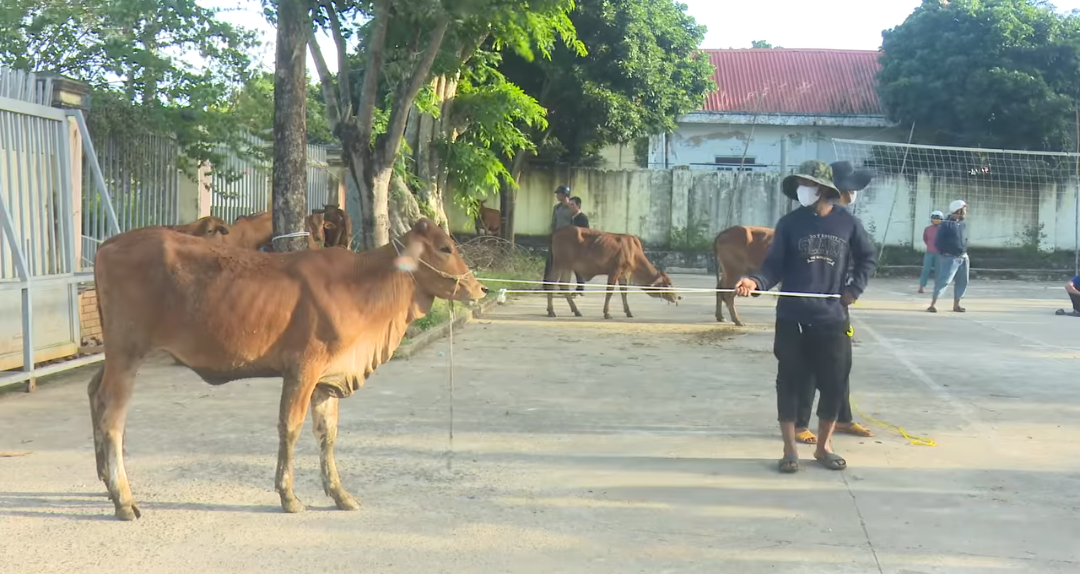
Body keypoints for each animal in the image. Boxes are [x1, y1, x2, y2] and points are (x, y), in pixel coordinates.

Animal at [86, 217, 488, 521]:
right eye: (445, 247)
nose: (478, 289)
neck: (362, 285)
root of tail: (109, 244)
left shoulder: (328, 378)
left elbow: (328, 434)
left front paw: (340, 494)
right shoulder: (303, 369)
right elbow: (290, 429)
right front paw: (289, 496)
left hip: (117, 355)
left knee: (94, 392)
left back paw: (105, 480)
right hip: (127, 352)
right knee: (112, 418)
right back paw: (123, 499)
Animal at [544, 227, 678, 322]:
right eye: (668, 284)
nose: (677, 298)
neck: (634, 253)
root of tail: (556, 232)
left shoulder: (623, 274)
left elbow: (624, 292)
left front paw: (628, 312)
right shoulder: (615, 271)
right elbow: (610, 292)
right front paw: (607, 313)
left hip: (567, 266)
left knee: (564, 285)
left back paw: (576, 310)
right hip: (559, 263)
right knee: (551, 283)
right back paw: (551, 311)